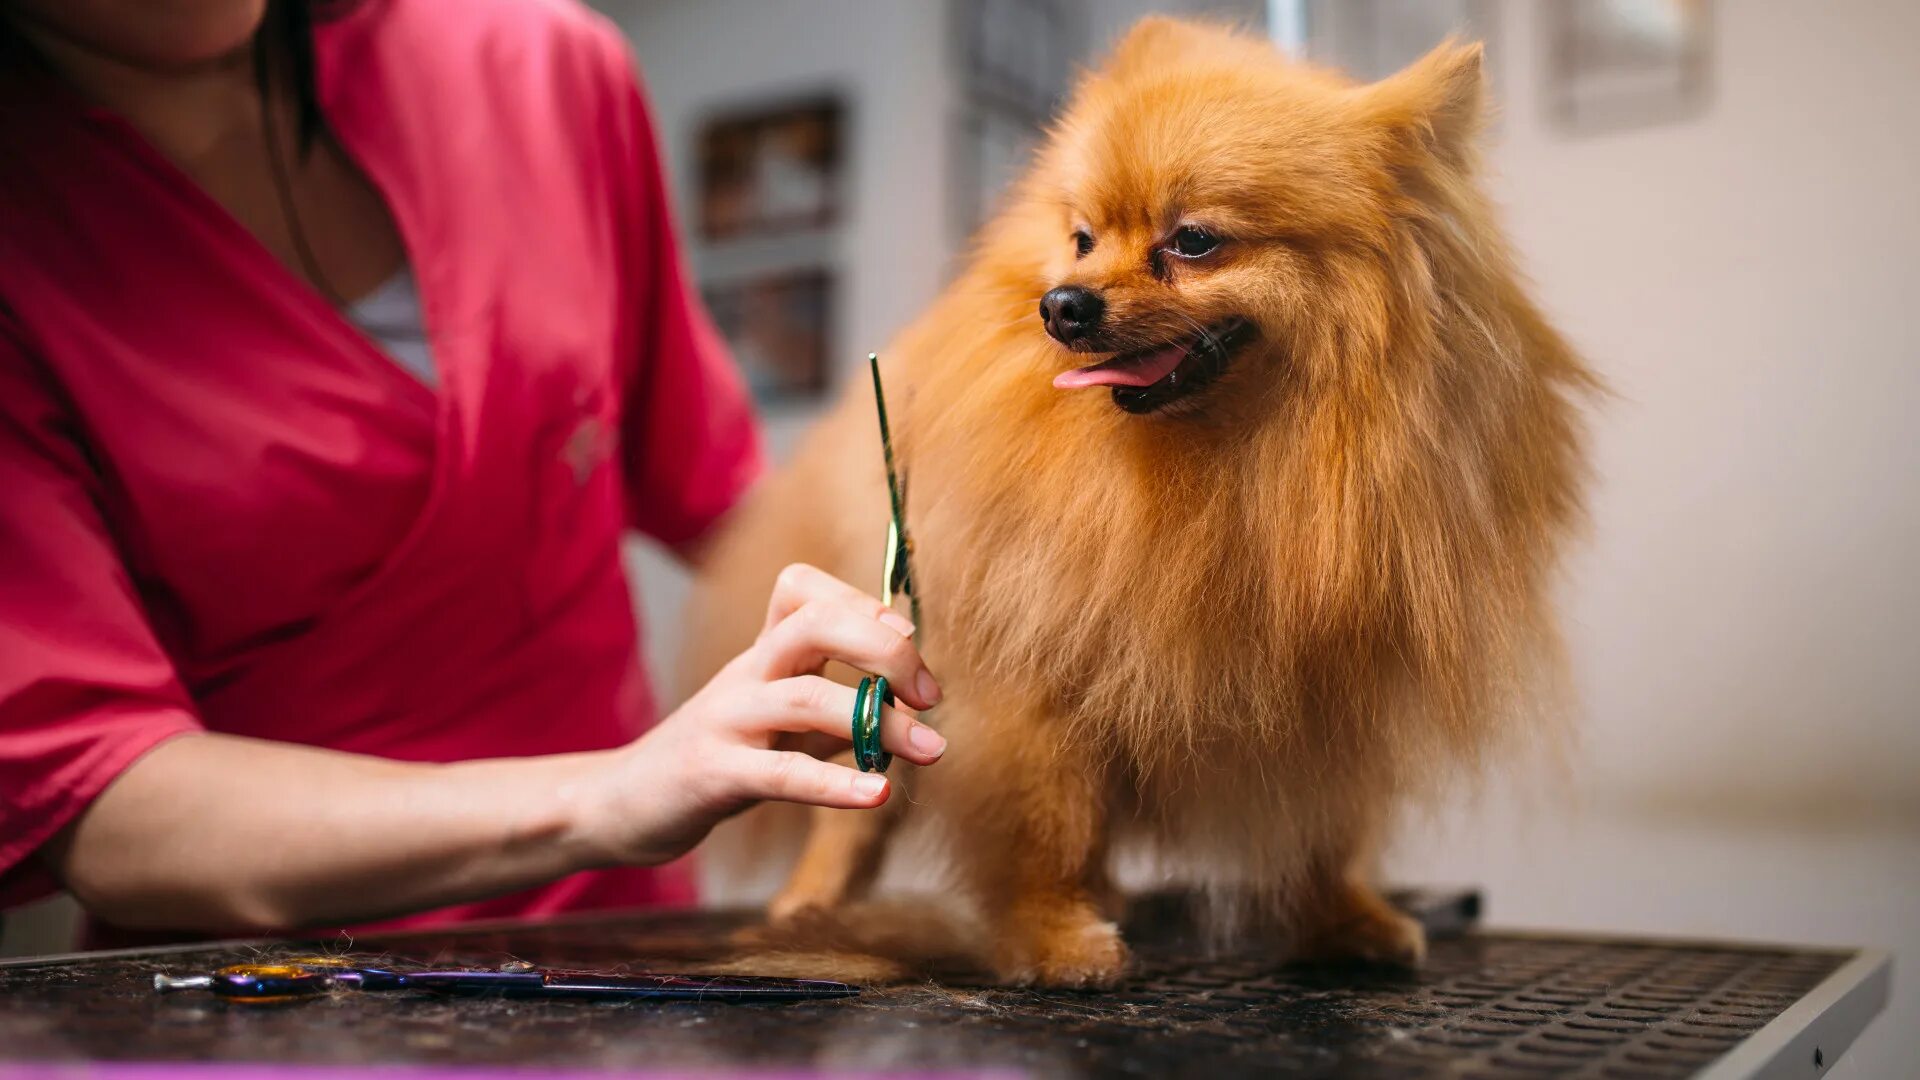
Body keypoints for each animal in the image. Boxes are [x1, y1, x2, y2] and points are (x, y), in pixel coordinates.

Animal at [683, 16, 1597, 991]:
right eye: (1084, 238)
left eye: (1193, 241)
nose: (1061, 304)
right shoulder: (1037, 673)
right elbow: (1048, 820)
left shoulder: (1327, 690)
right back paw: (810, 903)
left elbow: (1322, 828)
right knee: (859, 809)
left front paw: (1341, 917)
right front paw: (1054, 938)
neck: (1236, 464)